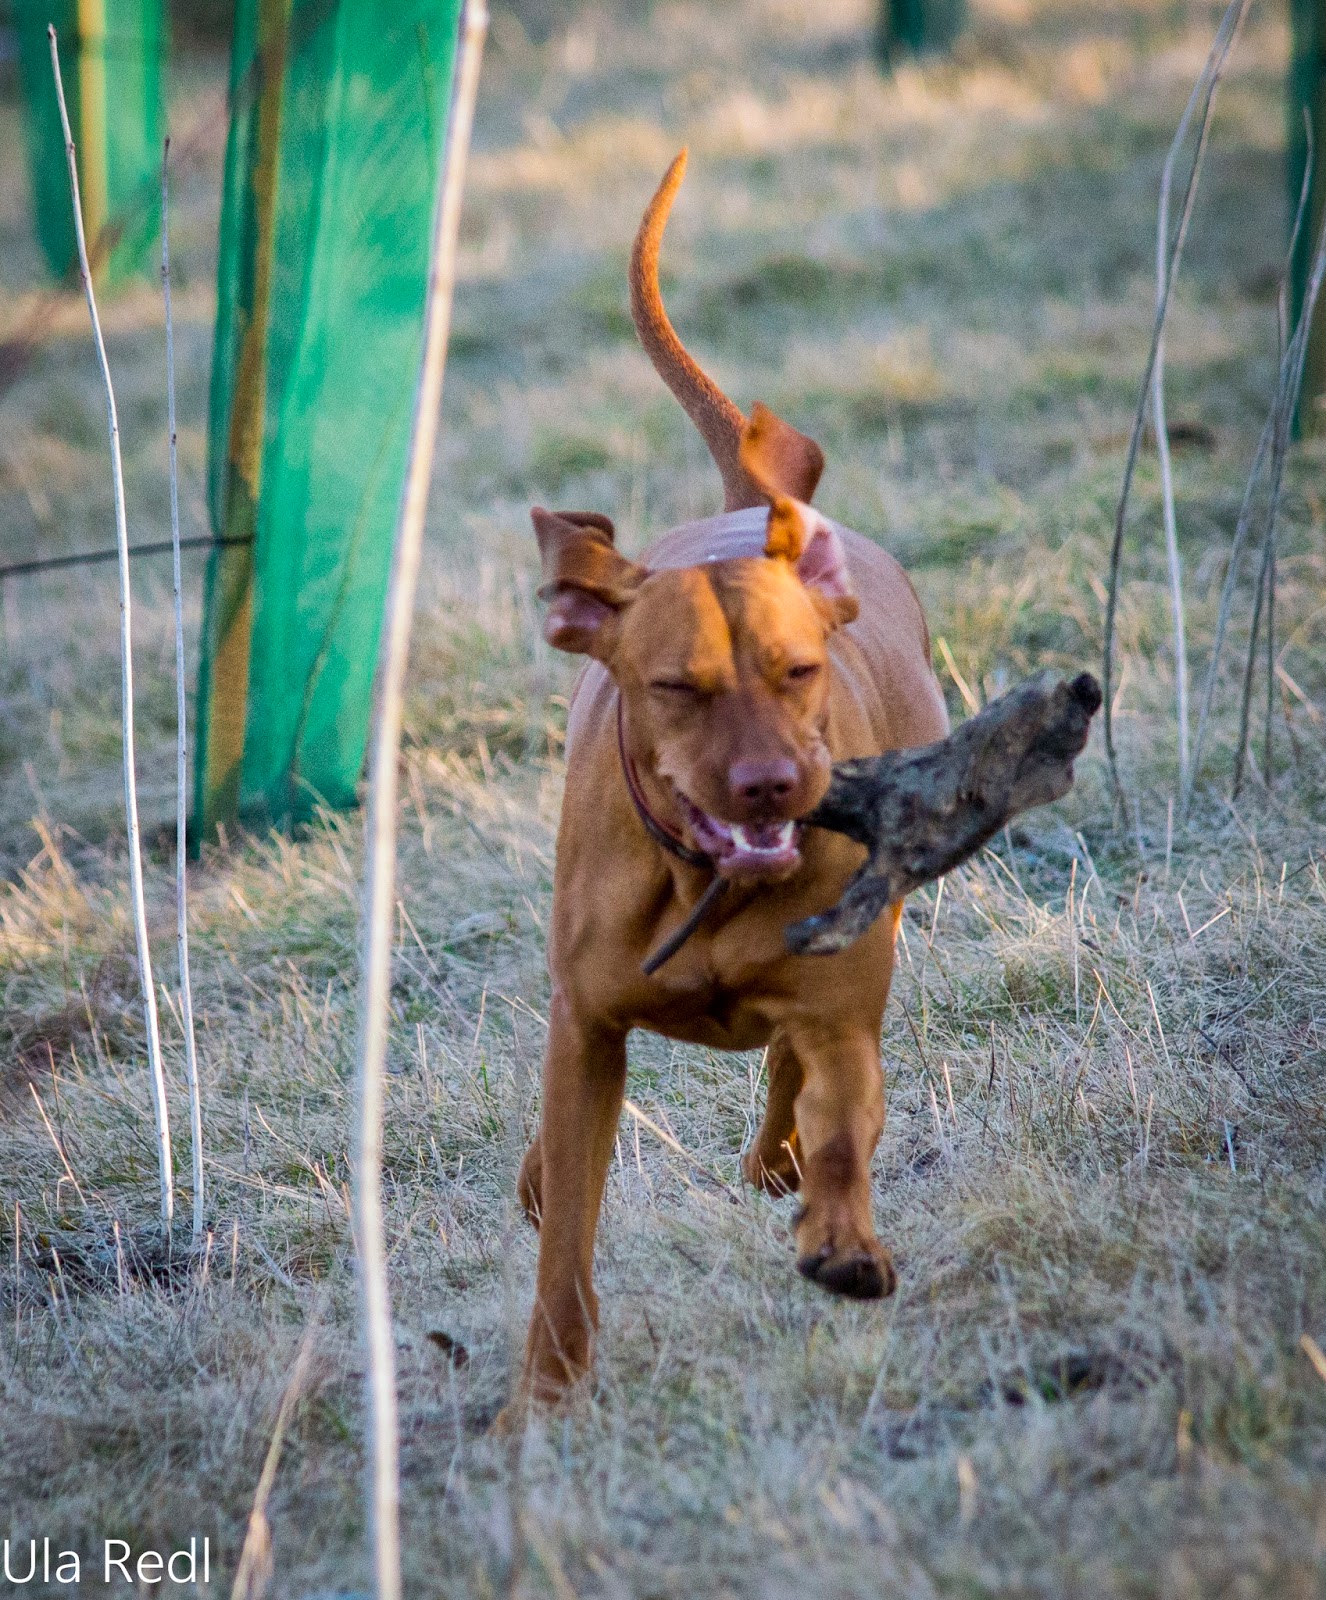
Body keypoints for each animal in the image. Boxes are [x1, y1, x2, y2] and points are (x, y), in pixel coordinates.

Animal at [512, 150, 949, 1408]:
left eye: (799, 669)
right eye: (676, 687)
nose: (769, 787)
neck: (700, 879)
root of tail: (755, 506)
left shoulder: (846, 1003)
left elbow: (839, 1108)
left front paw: (840, 1235)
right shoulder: (585, 1028)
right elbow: (569, 1229)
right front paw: (540, 1399)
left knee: (794, 1075)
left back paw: (780, 1160)